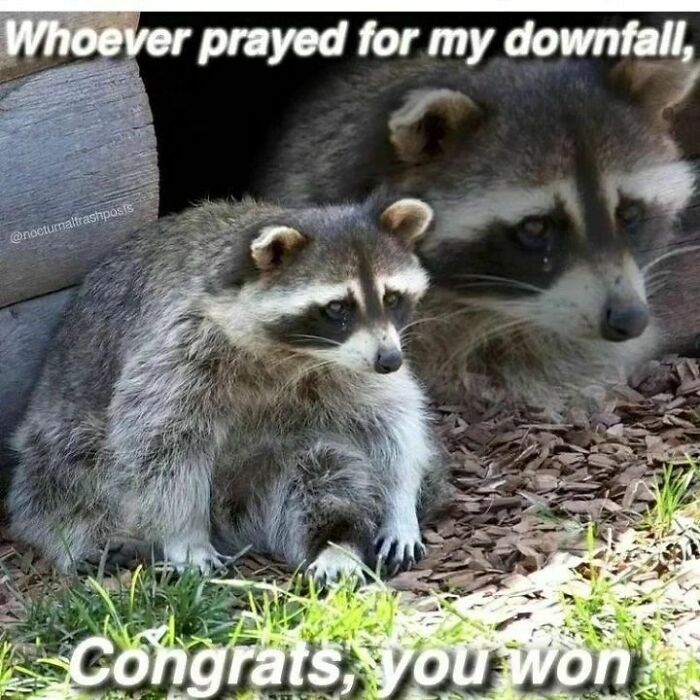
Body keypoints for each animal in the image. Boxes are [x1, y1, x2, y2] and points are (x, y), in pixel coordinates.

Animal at [8, 197, 444, 580]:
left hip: (280, 462)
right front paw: (184, 535)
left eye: (391, 297)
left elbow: (393, 421)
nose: (390, 361)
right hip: (63, 435)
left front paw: (400, 502)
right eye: (337, 307)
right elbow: (160, 443)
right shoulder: (179, 343)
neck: (293, 354)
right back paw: (84, 538)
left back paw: (337, 539)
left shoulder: (350, 364)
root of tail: (232, 520)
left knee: (325, 474)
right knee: (61, 484)